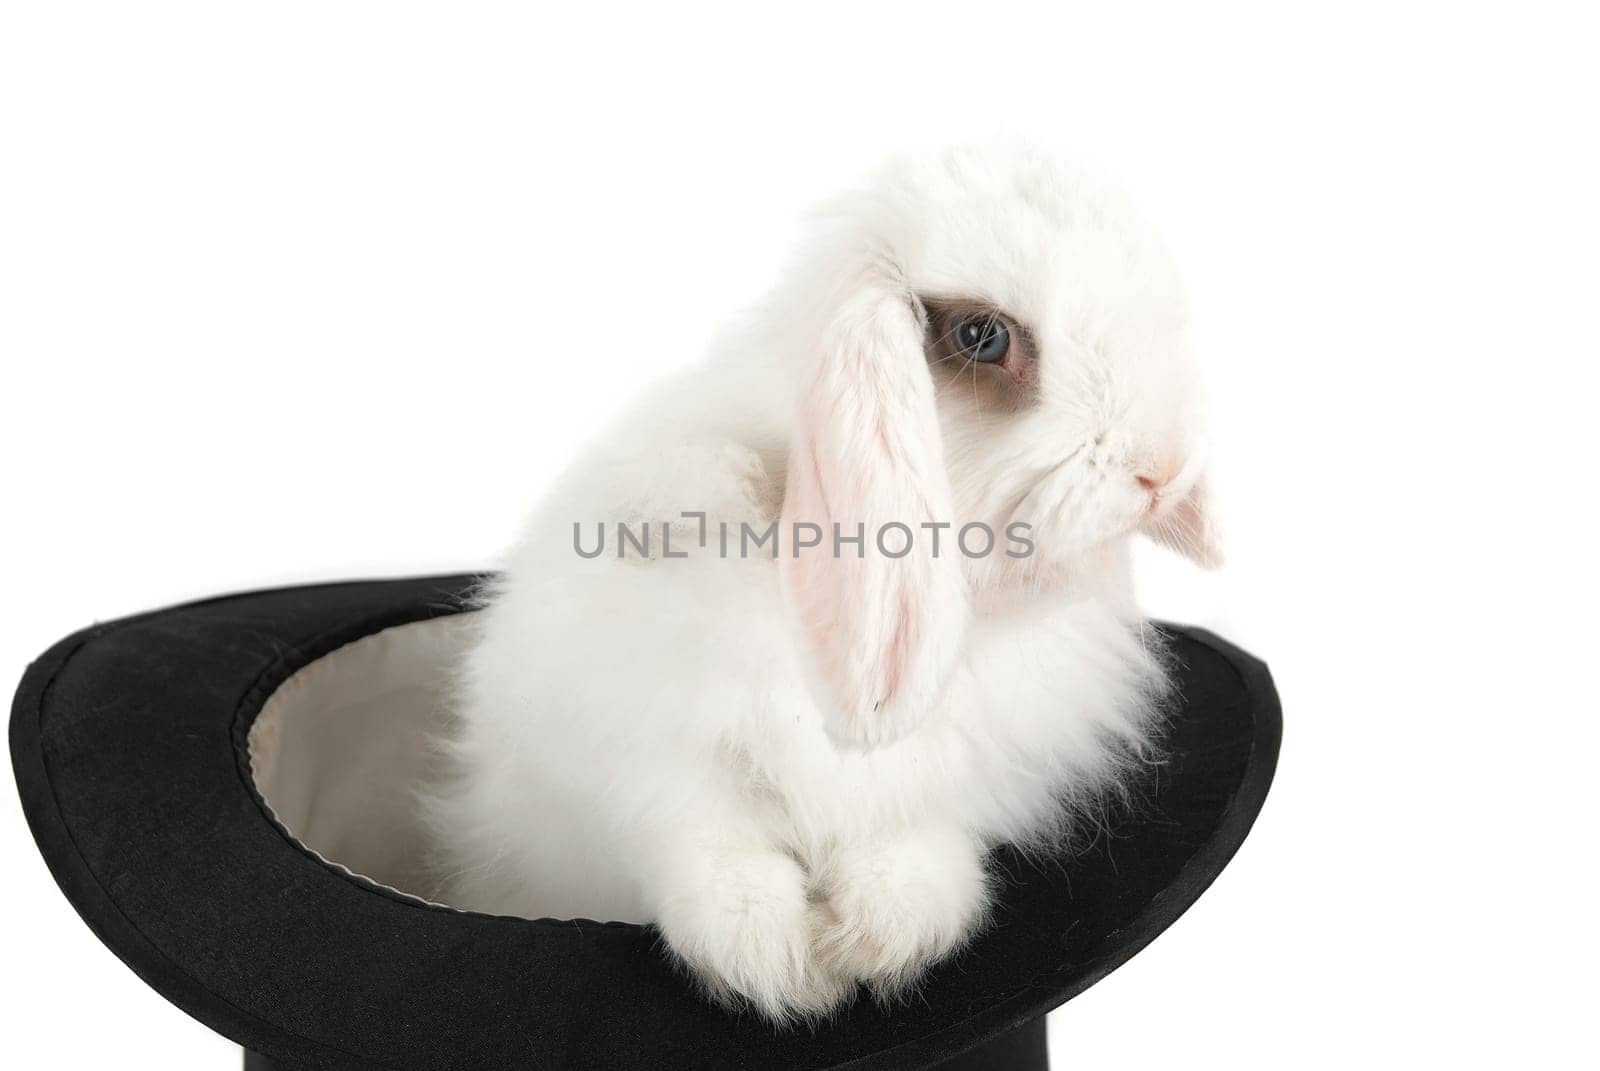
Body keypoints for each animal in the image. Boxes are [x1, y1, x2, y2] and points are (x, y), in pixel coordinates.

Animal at [419, 140, 1216, 1018]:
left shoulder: (960, 768)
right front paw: (780, 966)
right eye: (981, 334)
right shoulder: (645, 749)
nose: (1163, 471)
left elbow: (913, 842)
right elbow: (705, 840)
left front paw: (878, 940)